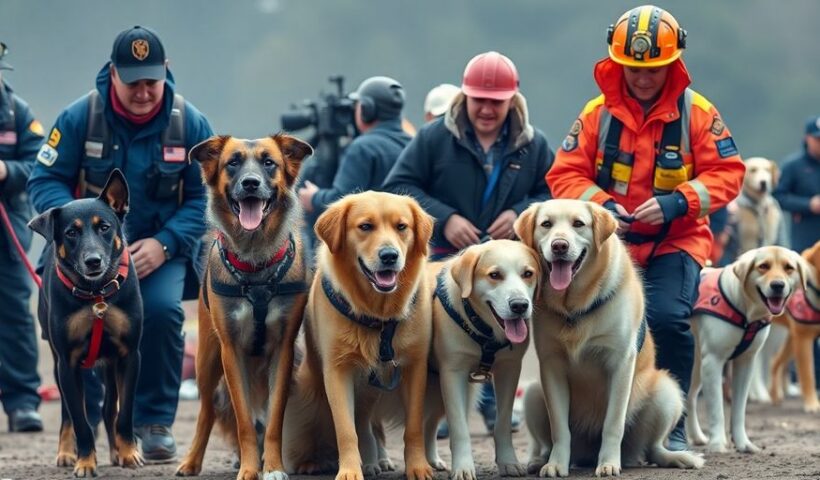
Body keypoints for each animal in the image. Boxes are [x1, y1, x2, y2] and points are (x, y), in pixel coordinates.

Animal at [175, 134, 312, 480]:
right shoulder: (231, 352)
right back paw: (192, 460)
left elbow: (274, 419)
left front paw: (272, 467)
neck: (255, 260)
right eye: (232, 163)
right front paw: (251, 469)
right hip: (207, 362)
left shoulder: (283, 351)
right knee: (207, 412)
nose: (251, 183)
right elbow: (244, 422)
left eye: (269, 163)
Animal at [282, 191, 436, 480]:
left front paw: (418, 467)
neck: (378, 316)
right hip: (310, 393)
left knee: (371, 425)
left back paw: (380, 459)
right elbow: (346, 430)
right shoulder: (338, 371)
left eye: (402, 227)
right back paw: (315, 461)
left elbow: (413, 427)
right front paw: (350, 471)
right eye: (365, 226)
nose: (389, 256)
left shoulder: (414, 367)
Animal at [516, 199, 700, 476]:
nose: (559, 246)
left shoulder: (620, 362)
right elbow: (560, 428)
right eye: (546, 224)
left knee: (653, 448)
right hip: (533, 394)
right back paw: (541, 460)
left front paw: (609, 464)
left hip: (667, 392)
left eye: (578, 223)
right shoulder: (551, 365)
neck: (576, 307)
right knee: (546, 442)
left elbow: (613, 424)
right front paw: (556, 464)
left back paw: (677, 457)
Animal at [684, 246, 808, 452]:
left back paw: (696, 437)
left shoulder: (745, 362)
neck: (746, 313)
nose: (778, 285)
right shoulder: (714, 361)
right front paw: (717, 444)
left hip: (696, 364)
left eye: (788, 268)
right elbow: (717, 410)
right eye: (763, 266)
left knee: (689, 397)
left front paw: (743, 444)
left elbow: (739, 410)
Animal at [768, 242, 820, 410]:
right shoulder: (803, 339)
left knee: (775, 362)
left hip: (790, 340)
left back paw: (775, 396)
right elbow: (807, 374)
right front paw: (812, 404)